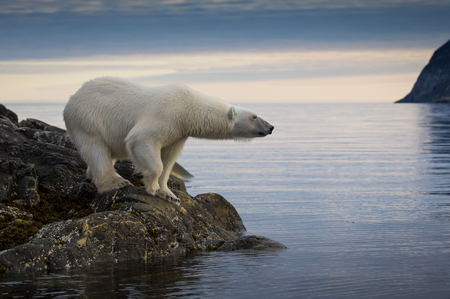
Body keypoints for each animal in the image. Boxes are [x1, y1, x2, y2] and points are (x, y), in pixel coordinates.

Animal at [63, 76, 274, 205]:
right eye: (255, 116)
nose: (271, 127)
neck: (188, 109)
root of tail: (71, 99)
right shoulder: (166, 114)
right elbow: (143, 139)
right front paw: (151, 185)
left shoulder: (179, 132)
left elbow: (169, 159)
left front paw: (169, 195)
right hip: (88, 119)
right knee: (97, 151)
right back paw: (116, 182)